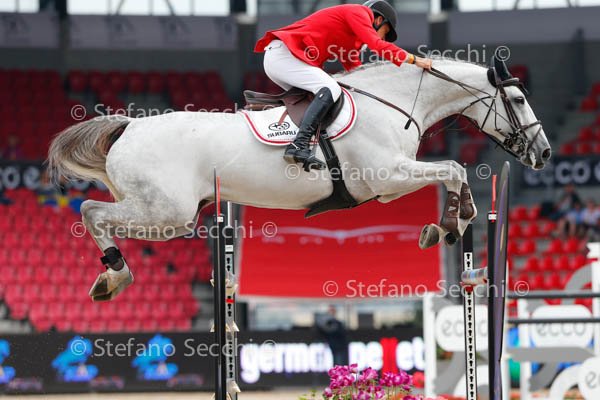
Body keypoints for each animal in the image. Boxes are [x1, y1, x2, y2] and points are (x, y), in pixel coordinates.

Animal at [48, 56, 551, 301]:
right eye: (519, 100)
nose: (544, 153)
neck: (392, 101)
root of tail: (129, 128)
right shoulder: (387, 177)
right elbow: (453, 169)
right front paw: (450, 223)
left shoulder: (391, 184)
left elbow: (451, 172)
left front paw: (443, 224)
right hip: (165, 213)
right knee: (91, 210)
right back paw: (114, 276)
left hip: (167, 216)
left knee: (96, 211)